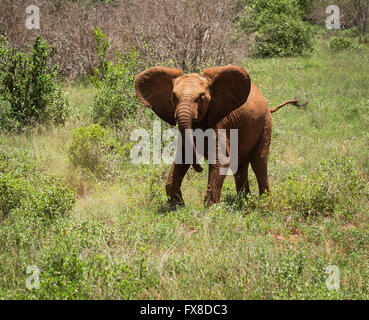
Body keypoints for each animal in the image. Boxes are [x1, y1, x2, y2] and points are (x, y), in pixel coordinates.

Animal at [134, 64, 306, 206]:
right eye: (173, 98)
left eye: (202, 98)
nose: (200, 168)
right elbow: (183, 158)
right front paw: (177, 206)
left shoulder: (221, 121)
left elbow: (221, 161)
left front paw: (209, 210)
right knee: (240, 164)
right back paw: (243, 201)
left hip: (265, 124)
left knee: (259, 161)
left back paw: (264, 202)